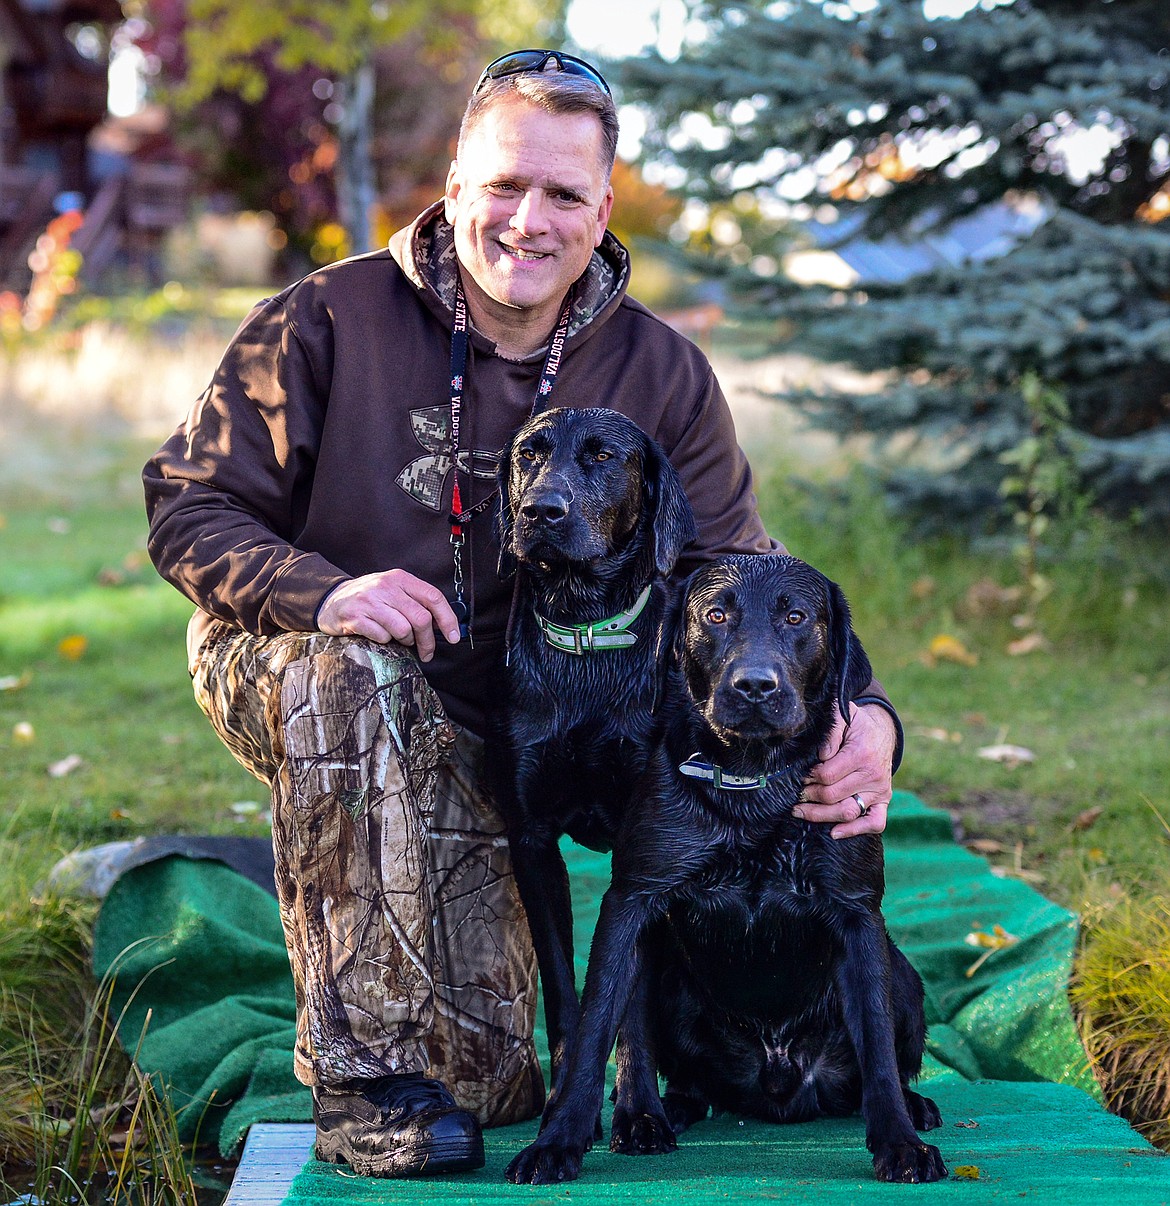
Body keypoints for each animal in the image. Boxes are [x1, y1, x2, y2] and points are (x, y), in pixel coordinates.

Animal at [489, 410, 694, 1099]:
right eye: (529, 453)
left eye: (602, 457)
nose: (541, 510)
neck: (583, 626)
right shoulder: (531, 839)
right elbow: (562, 986)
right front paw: (564, 1096)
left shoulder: (645, 845)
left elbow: (630, 995)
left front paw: (638, 1107)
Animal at [506, 554, 945, 1186]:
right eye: (715, 615)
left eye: (795, 616)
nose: (755, 686)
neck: (751, 786)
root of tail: (784, 1088)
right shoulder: (630, 901)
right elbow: (594, 1030)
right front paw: (557, 1141)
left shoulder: (859, 915)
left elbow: (880, 1051)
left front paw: (901, 1144)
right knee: (686, 1076)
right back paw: (672, 1108)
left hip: (904, 976)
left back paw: (915, 1107)